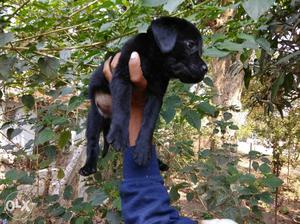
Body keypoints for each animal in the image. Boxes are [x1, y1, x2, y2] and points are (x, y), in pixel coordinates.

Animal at [78, 16, 207, 176]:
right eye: (190, 44)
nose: (205, 69)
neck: (153, 63)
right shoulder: (122, 76)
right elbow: (122, 108)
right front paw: (119, 135)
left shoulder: (156, 95)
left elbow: (148, 124)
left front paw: (143, 150)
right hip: (95, 115)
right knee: (92, 141)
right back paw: (88, 166)